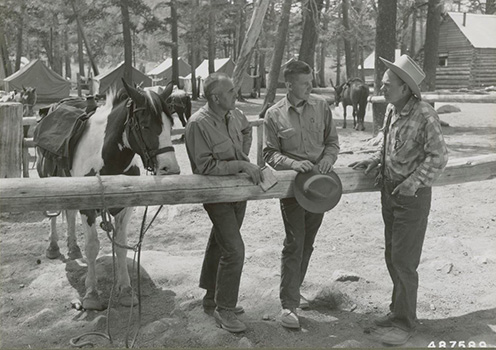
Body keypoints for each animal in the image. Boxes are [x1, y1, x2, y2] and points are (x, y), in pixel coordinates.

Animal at [35, 80, 181, 310]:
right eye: (145, 125)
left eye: (170, 124)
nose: (170, 169)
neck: (106, 157)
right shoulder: (88, 207)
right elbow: (92, 247)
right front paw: (92, 294)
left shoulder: (124, 207)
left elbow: (120, 246)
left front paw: (126, 290)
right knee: (54, 216)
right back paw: (53, 246)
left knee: (69, 214)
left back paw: (73, 247)